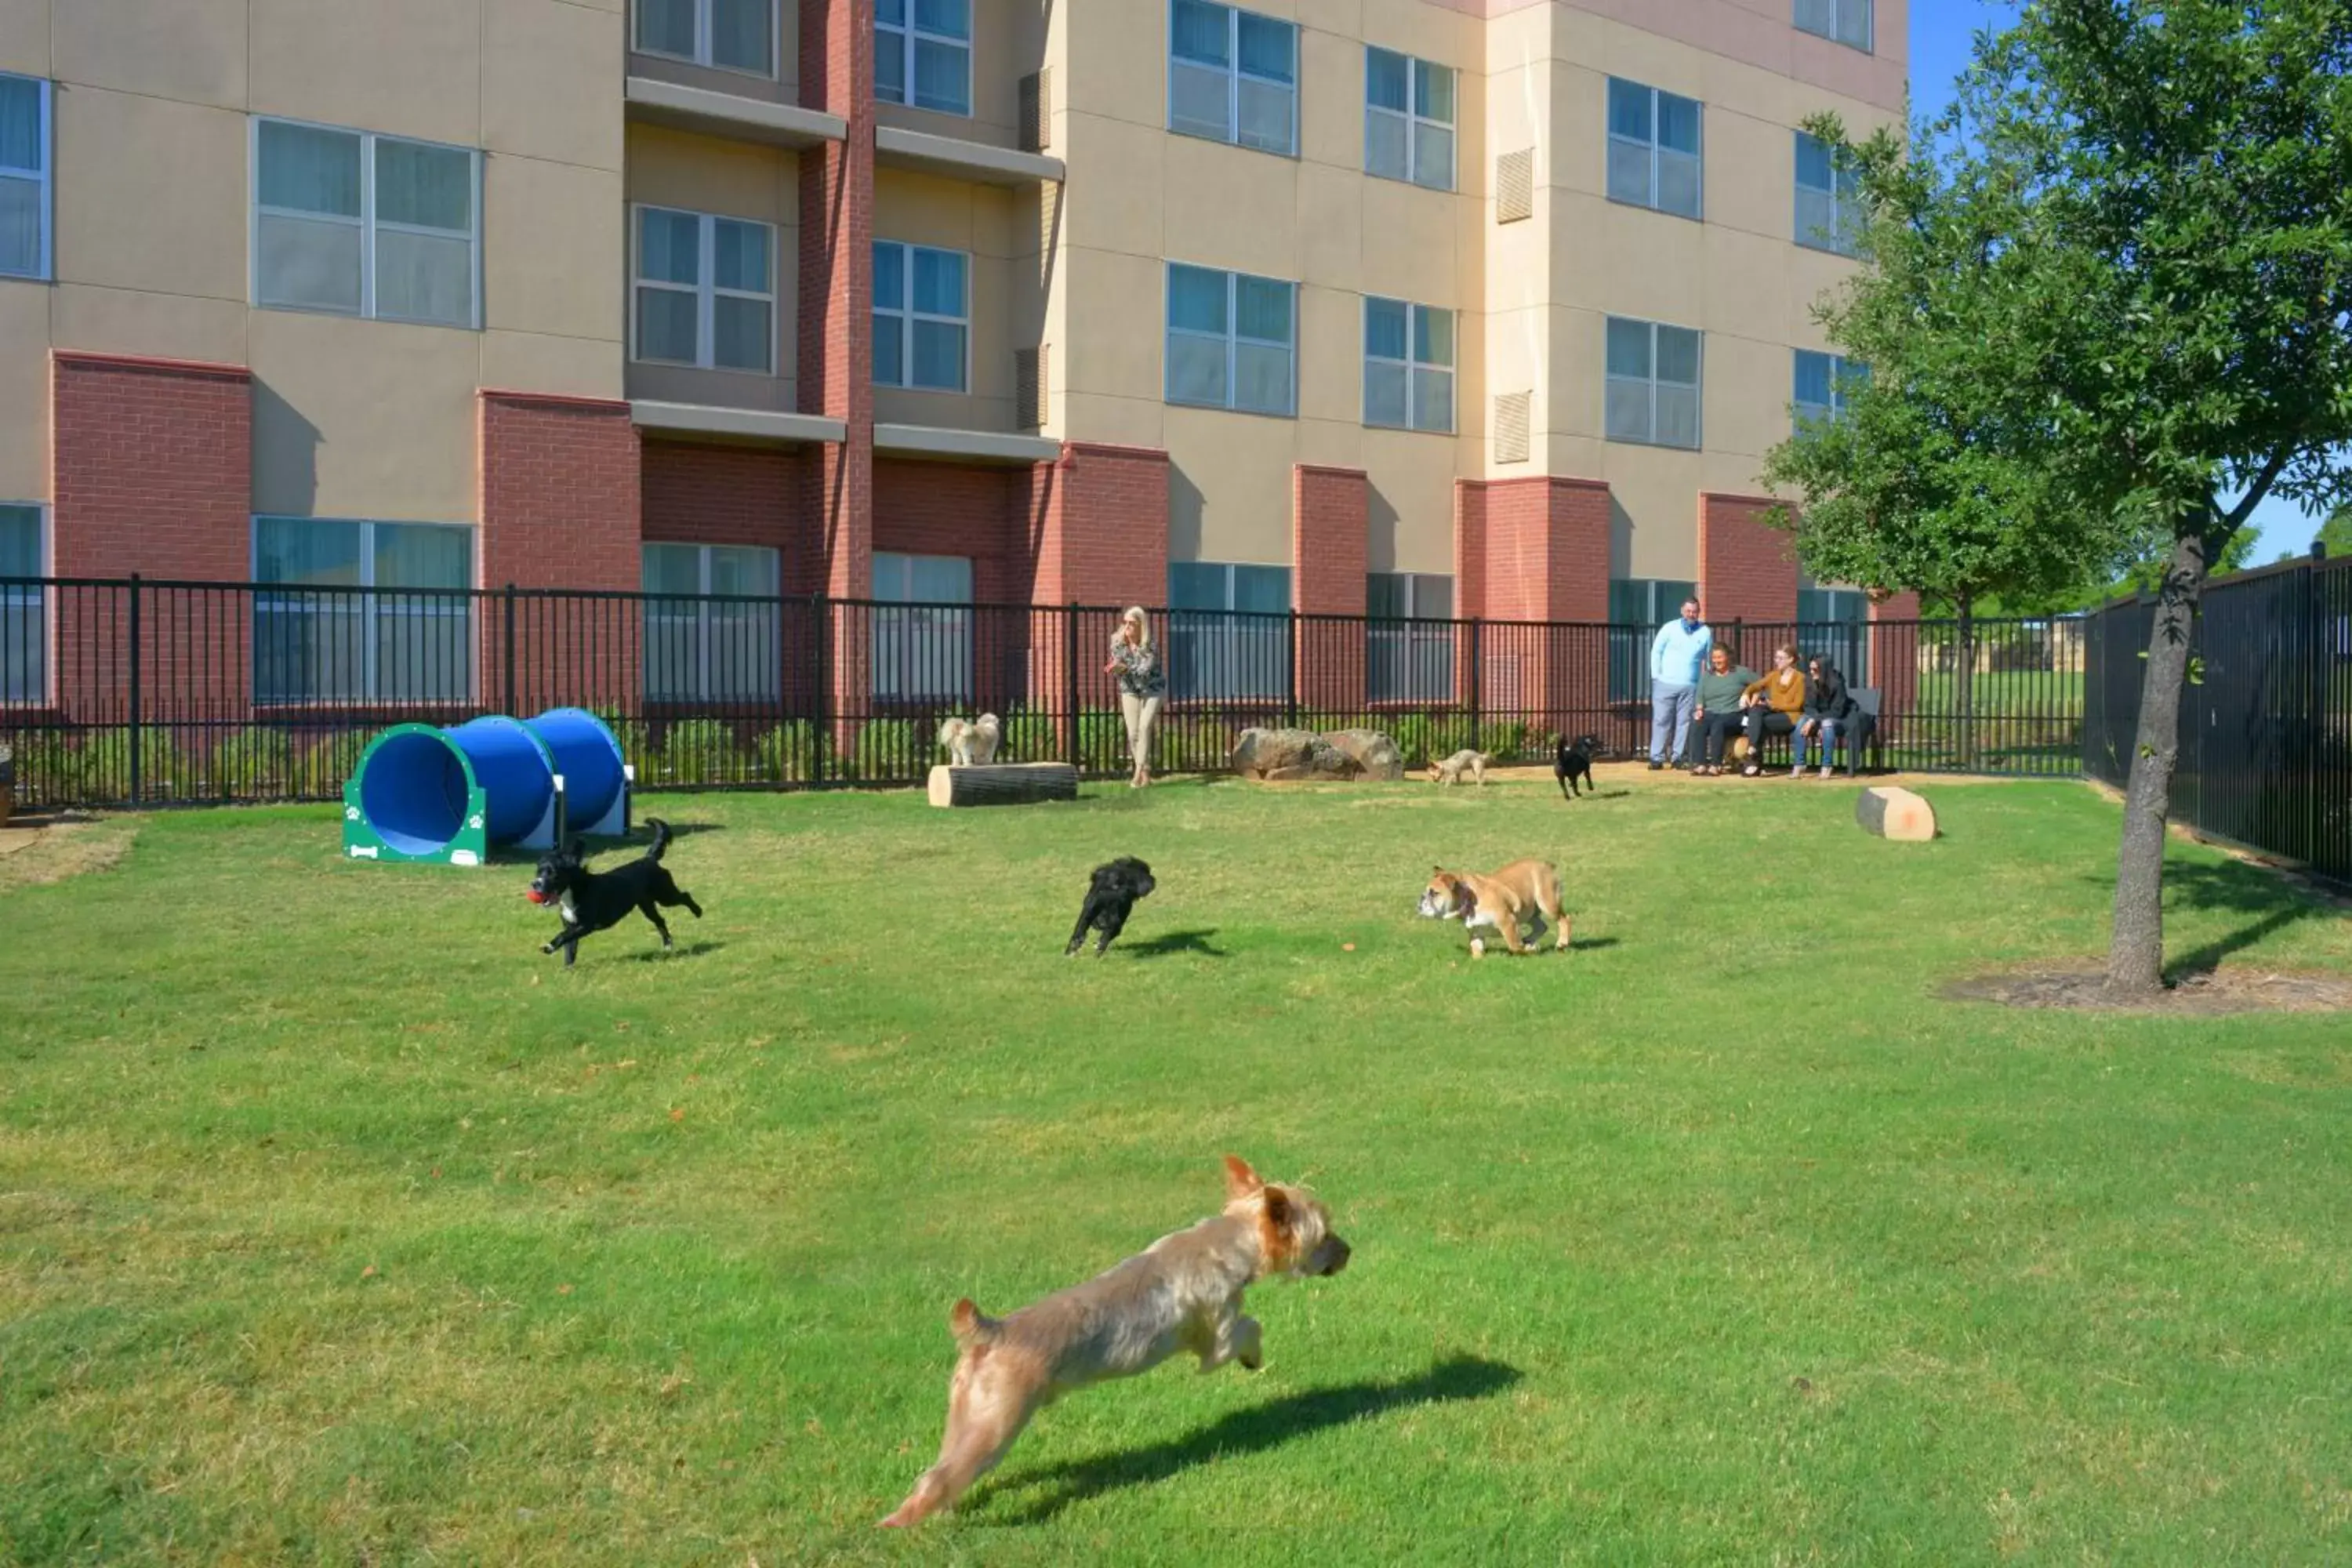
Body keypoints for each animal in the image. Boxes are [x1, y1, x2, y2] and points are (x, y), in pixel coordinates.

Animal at [520, 822, 691, 968]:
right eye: (539, 872)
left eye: (553, 873)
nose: (535, 884)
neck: (573, 892)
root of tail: (649, 859)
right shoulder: (570, 924)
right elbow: (570, 947)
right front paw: (567, 969)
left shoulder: (585, 924)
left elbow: (563, 936)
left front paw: (548, 947)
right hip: (647, 904)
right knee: (660, 920)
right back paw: (668, 945)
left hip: (665, 895)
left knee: (686, 896)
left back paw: (696, 914)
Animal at [880, 1161, 1355, 1523]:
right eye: (1324, 1235)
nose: (1349, 1250)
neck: (1228, 1240)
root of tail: (992, 1330)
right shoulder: (1218, 1334)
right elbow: (1247, 1328)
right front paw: (1253, 1356)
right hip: (997, 1421)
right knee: (941, 1477)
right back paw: (902, 1524)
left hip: (968, 1414)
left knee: (943, 1466)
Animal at [1411, 860, 1581, 959]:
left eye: (1434, 893)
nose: (1420, 902)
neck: (1469, 899)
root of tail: (1545, 865)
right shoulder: (1476, 933)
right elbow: (1476, 951)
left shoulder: (1508, 922)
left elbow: (1514, 945)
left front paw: (1530, 950)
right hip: (1528, 912)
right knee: (1541, 926)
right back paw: (1530, 940)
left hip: (1547, 903)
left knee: (1564, 919)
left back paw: (1561, 943)